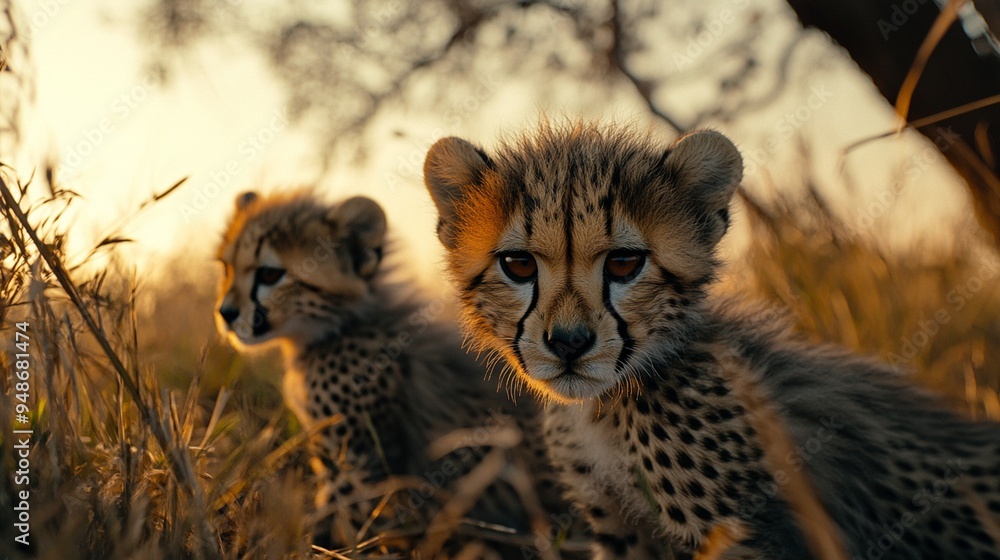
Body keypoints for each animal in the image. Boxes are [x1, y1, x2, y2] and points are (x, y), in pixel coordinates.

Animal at [214, 190, 567, 553]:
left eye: (270, 275)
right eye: (226, 267)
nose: (225, 313)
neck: (336, 328)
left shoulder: (359, 466)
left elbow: (350, 521)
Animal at [423, 121, 1000, 560]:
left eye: (625, 263)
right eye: (518, 265)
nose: (568, 343)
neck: (607, 407)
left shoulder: (739, 536)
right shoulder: (620, 529)